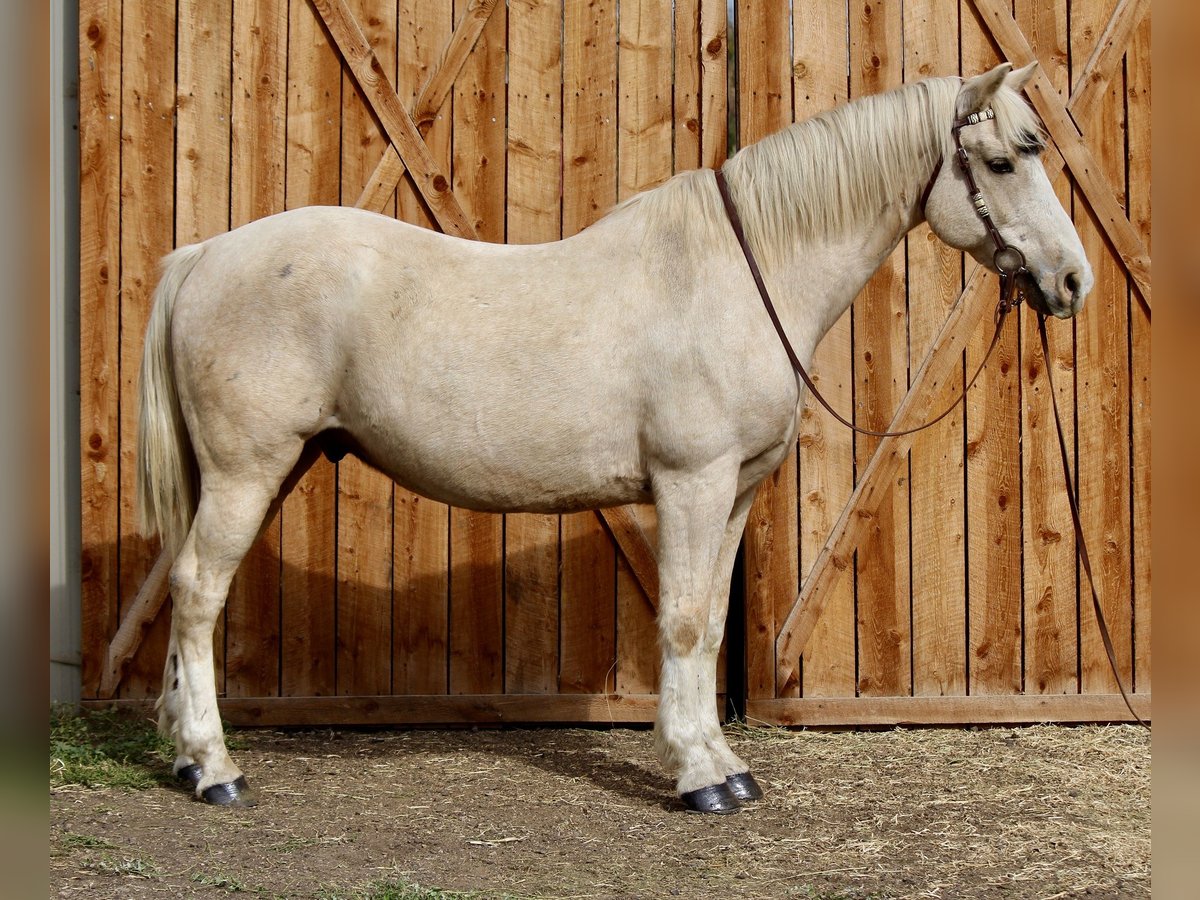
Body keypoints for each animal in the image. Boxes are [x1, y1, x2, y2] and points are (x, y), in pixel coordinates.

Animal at [138, 61, 1091, 814]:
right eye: (1002, 160)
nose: (1072, 280)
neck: (738, 273)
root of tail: (204, 255)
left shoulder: (735, 490)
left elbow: (710, 620)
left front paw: (726, 766)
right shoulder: (692, 481)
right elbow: (682, 622)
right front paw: (699, 777)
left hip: (273, 466)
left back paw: (187, 757)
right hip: (246, 471)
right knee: (197, 591)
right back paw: (216, 769)